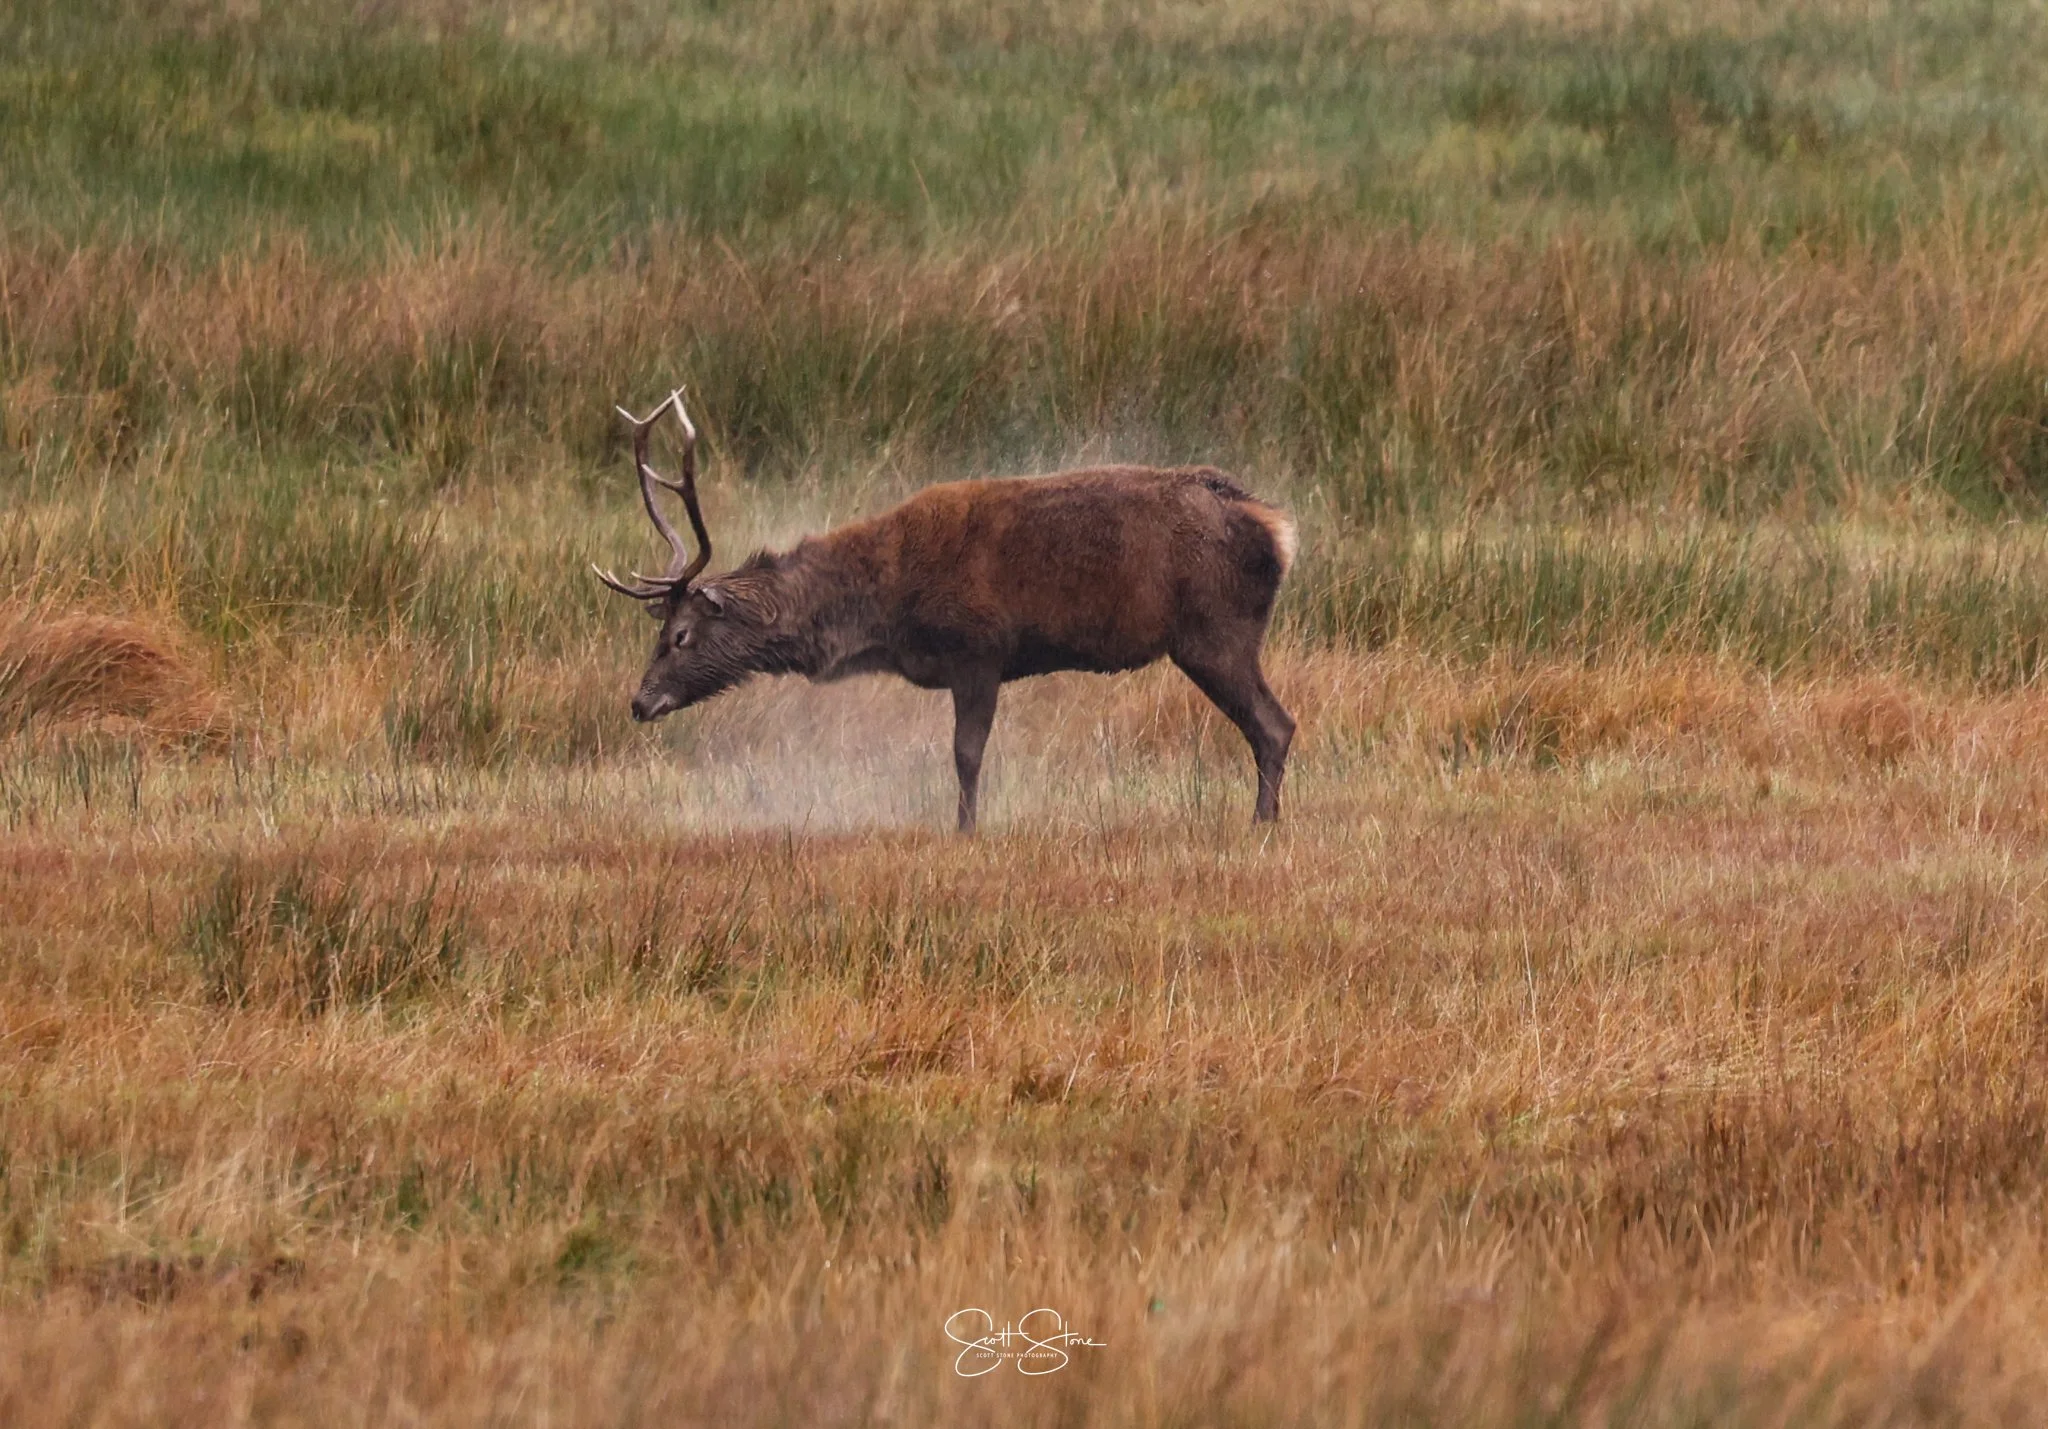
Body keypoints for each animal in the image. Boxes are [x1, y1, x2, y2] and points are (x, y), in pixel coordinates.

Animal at [594, 389, 1298, 833]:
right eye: (661, 629)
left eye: (681, 635)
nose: (638, 702)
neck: (885, 609)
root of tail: (1277, 526)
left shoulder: (978, 651)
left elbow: (966, 754)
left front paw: (964, 830)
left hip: (1215, 632)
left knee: (1275, 725)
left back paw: (1260, 823)